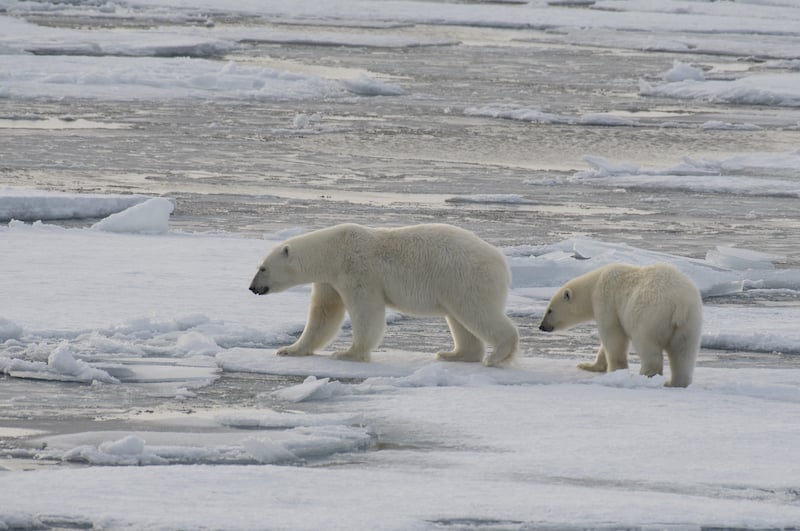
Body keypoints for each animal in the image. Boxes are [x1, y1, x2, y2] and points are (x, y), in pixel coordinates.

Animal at [248, 222, 520, 368]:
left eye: (263, 268)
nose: (252, 287)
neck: (333, 251)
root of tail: (502, 263)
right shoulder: (329, 280)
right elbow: (323, 314)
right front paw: (290, 349)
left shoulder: (357, 271)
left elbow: (366, 312)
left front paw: (348, 353)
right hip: (454, 285)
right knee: (460, 319)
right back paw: (454, 354)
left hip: (465, 278)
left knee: (476, 313)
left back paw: (496, 356)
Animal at [536, 264, 700, 388]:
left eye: (549, 310)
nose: (542, 326)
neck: (595, 283)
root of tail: (680, 303)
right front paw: (589, 365)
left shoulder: (606, 301)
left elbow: (612, 335)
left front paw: (615, 371)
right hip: (689, 323)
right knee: (683, 352)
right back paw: (675, 383)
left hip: (649, 316)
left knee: (647, 345)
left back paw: (645, 376)